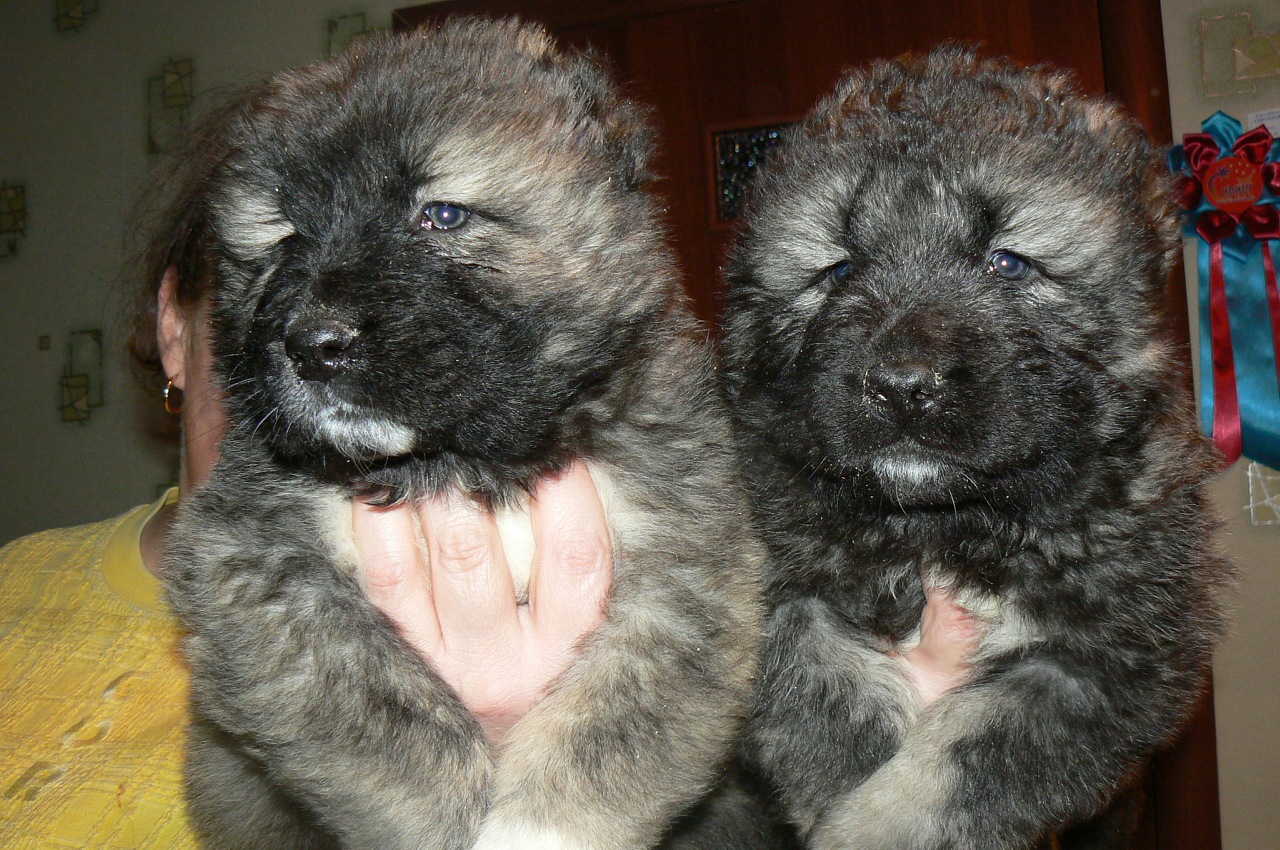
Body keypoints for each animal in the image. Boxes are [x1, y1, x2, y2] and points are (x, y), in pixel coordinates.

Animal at [158, 19, 757, 850]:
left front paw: (539, 829)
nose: (312, 344)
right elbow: (382, 713)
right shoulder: (257, 563)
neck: (467, 463)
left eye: (441, 214)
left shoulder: (687, 575)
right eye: (283, 237)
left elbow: (607, 727)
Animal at [721, 48, 1228, 850]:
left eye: (1007, 263)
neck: (948, 526)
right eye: (840, 270)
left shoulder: (1103, 655)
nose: (901, 387)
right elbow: (827, 702)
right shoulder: (773, 587)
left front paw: (872, 828)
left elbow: (963, 761)